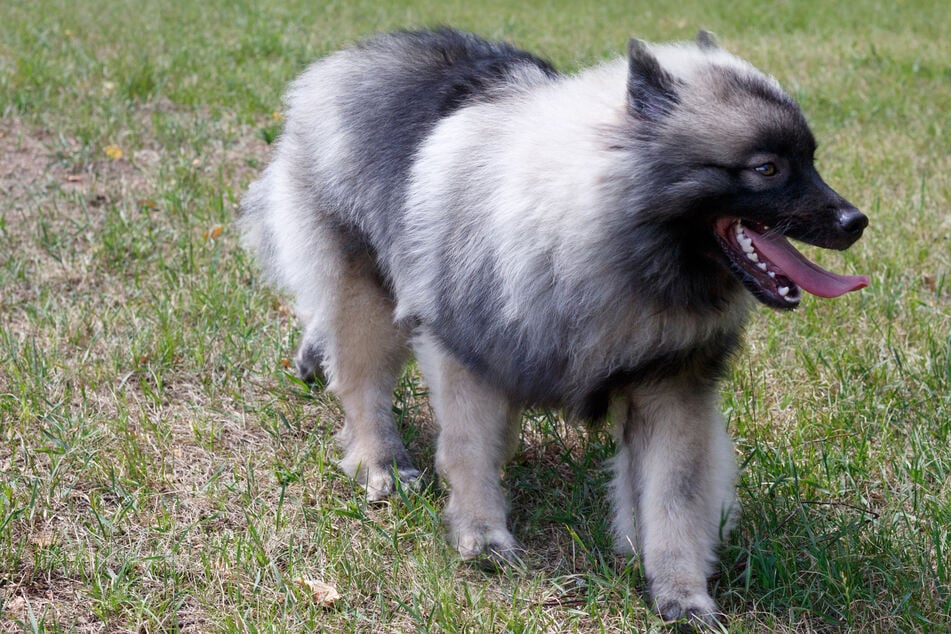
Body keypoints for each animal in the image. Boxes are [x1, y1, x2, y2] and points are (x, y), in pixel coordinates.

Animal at [240, 28, 872, 624]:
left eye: (812, 160)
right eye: (766, 168)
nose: (856, 221)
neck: (604, 247)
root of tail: (349, 60)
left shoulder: (669, 388)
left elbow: (672, 496)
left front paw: (680, 592)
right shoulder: (465, 352)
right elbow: (465, 448)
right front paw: (482, 534)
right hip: (365, 292)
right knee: (363, 384)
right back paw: (383, 464)